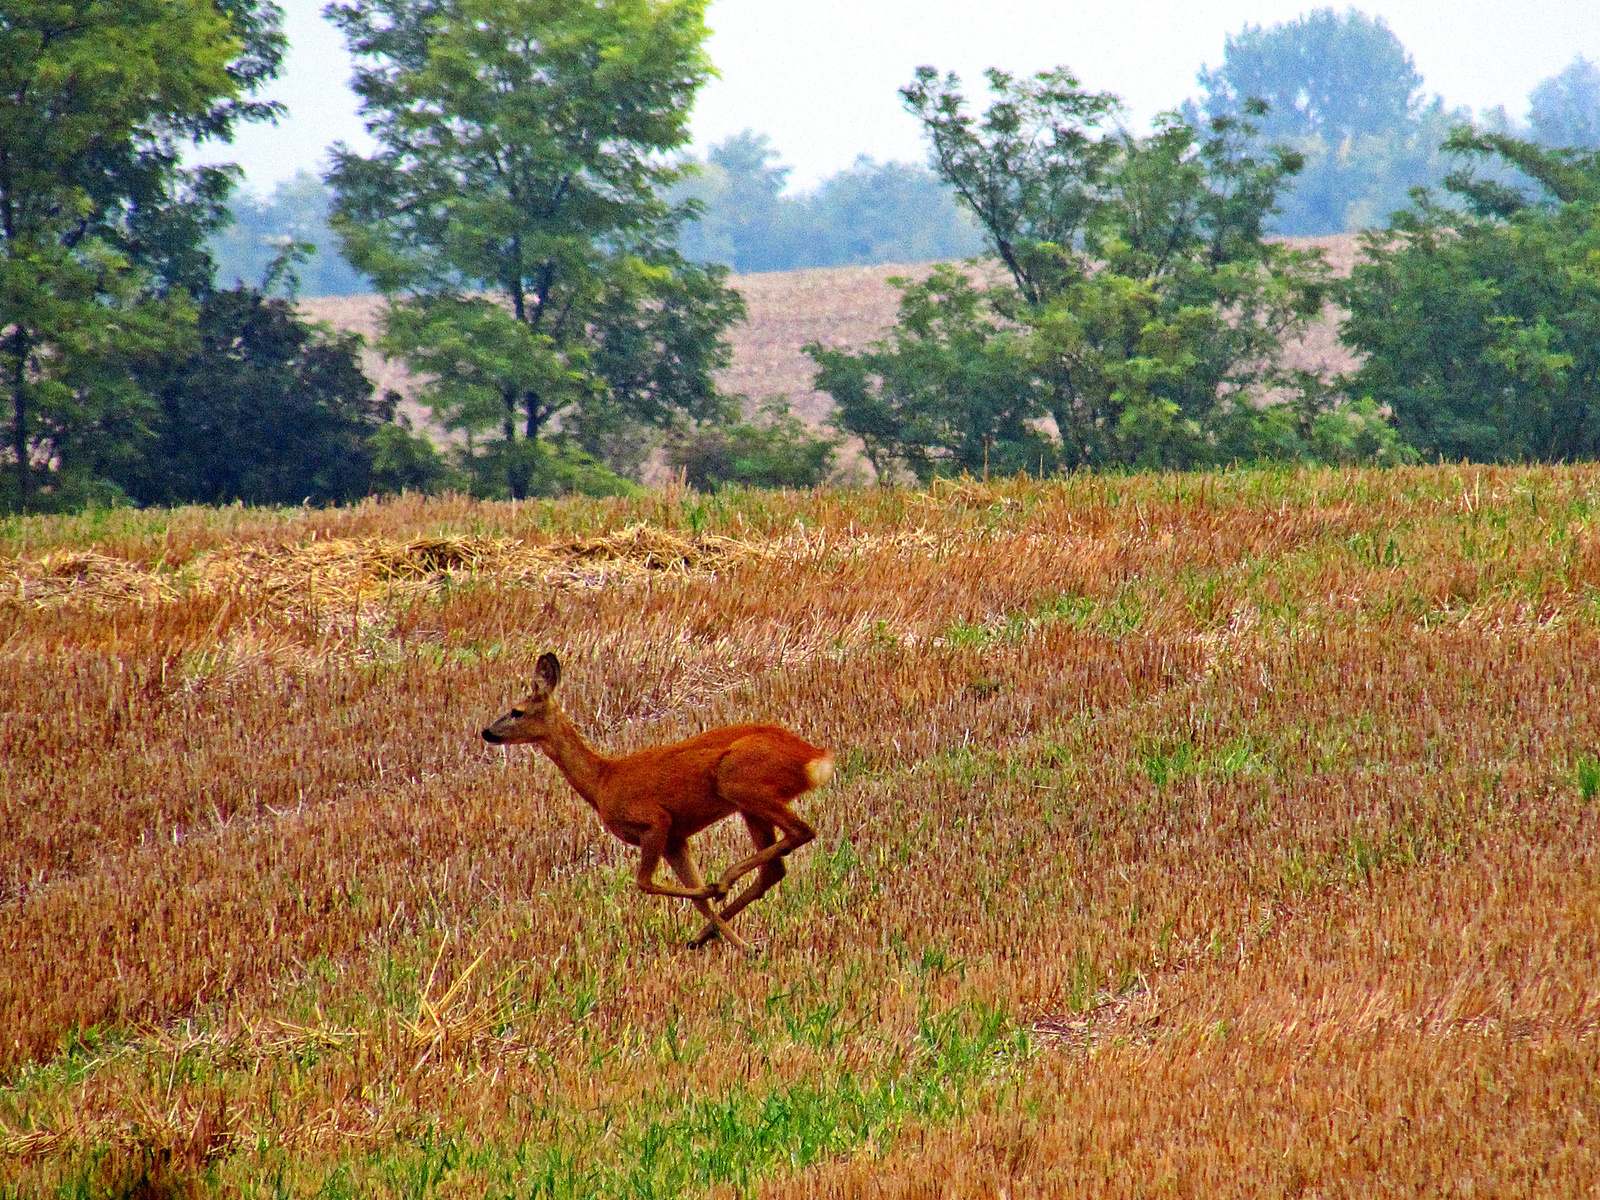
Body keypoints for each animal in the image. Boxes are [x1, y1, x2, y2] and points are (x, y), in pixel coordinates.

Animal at [476, 652, 832, 953]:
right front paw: (742, 945)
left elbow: (645, 882)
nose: (487, 732)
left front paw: (714, 893)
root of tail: (813, 758)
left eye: (516, 711)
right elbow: (697, 900)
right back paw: (707, 932)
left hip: (739, 781)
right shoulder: (676, 839)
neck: (602, 781)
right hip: (748, 803)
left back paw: (725, 879)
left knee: (802, 831)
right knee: (776, 865)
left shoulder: (655, 820)